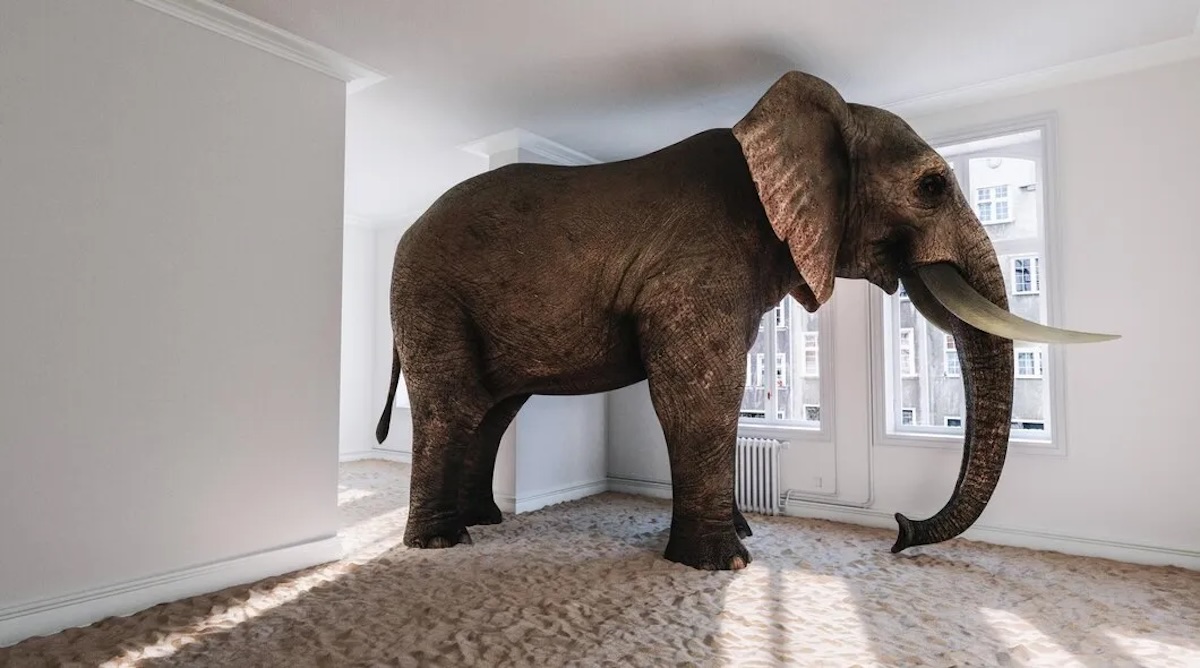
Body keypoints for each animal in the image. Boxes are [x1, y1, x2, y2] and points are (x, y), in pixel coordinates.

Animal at [375, 70, 1117, 571]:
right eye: (932, 186)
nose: (900, 530)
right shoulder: (696, 269)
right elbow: (702, 395)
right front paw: (726, 564)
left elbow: (724, 401)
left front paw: (743, 537)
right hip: (429, 295)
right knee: (455, 405)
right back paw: (441, 542)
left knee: (494, 409)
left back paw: (485, 522)